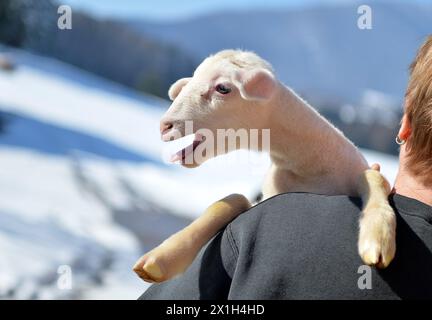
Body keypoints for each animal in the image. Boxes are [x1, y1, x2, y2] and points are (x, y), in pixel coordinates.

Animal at [133, 50, 396, 282]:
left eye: (223, 88)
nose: (165, 126)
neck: (305, 169)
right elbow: (233, 199)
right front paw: (162, 258)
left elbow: (373, 177)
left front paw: (377, 237)